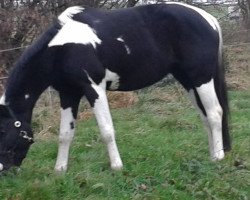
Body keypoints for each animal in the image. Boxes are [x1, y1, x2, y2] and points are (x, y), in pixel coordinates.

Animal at [0, 2, 230, 172]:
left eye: (3, 131)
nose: (4, 169)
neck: (62, 49)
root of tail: (209, 19)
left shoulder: (94, 88)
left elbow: (106, 130)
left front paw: (117, 166)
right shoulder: (68, 94)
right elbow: (65, 134)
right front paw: (60, 170)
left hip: (201, 78)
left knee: (215, 113)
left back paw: (218, 157)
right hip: (188, 81)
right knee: (205, 116)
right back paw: (212, 154)